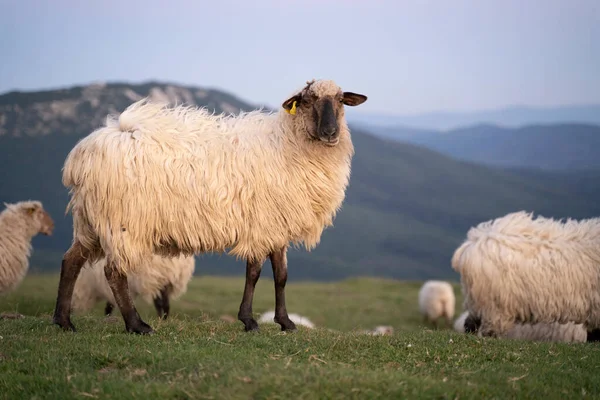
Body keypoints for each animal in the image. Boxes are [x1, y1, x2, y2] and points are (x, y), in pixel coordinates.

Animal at [51, 78, 368, 334]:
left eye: (340, 100)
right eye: (308, 100)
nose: (330, 131)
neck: (287, 144)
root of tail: (82, 155)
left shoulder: (276, 224)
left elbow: (281, 276)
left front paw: (286, 322)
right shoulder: (259, 223)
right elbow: (254, 273)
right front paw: (249, 321)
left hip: (91, 220)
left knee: (71, 261)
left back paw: (64, 322)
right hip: (123, 220)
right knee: (114, 273)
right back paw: (136, 325)